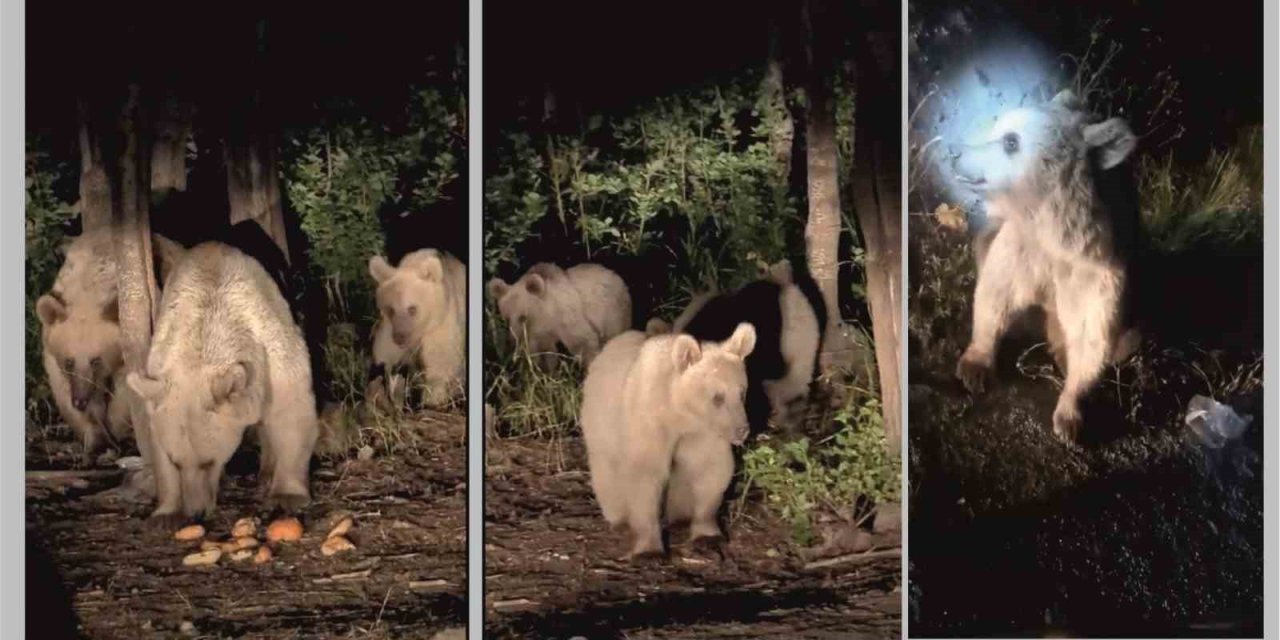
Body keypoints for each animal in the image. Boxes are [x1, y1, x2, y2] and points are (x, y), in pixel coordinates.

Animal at [125, 240, 317, 524]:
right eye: (177, 462)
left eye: (208, 462)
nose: (196, 512)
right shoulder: (161, 363)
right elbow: (156, 434)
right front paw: (166, 511)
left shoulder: (271, 347)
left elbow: (291, 409)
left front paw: (287, 495)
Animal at [368, 247, 468, 407]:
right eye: (391, 309)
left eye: (412, 309)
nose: (400, 338)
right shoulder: (390, 328)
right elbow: (384, 354)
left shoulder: (441, 324)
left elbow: (441, 363)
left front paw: (432, 400)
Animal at [486, 261, 632, 371]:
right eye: (506, 318)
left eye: (523, 317)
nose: (512, 340)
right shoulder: (539, 338)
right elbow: (546, 357)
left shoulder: (568, 321)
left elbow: (585, 344)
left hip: (613, 315)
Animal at [583, 322, 752, 558]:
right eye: (718, 397)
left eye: (742, 392)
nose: (742, 430)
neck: (680, 411)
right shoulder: (649, 417)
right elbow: (644, 473)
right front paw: (649, 550)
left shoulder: (703, 432)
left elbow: (710, 469)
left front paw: (708, 536)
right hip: (603, 423)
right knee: (607, 470)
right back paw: (618, 517)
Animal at [952, 88, 1141, 440]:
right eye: (999, 124)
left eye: (1011, 141)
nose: (955, 153)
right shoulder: (1022, 245)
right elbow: (995, 294)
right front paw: (975, 365)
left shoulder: (1097, 268)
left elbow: (1092, 333)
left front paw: (1069, 415)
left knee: (1125, 340)